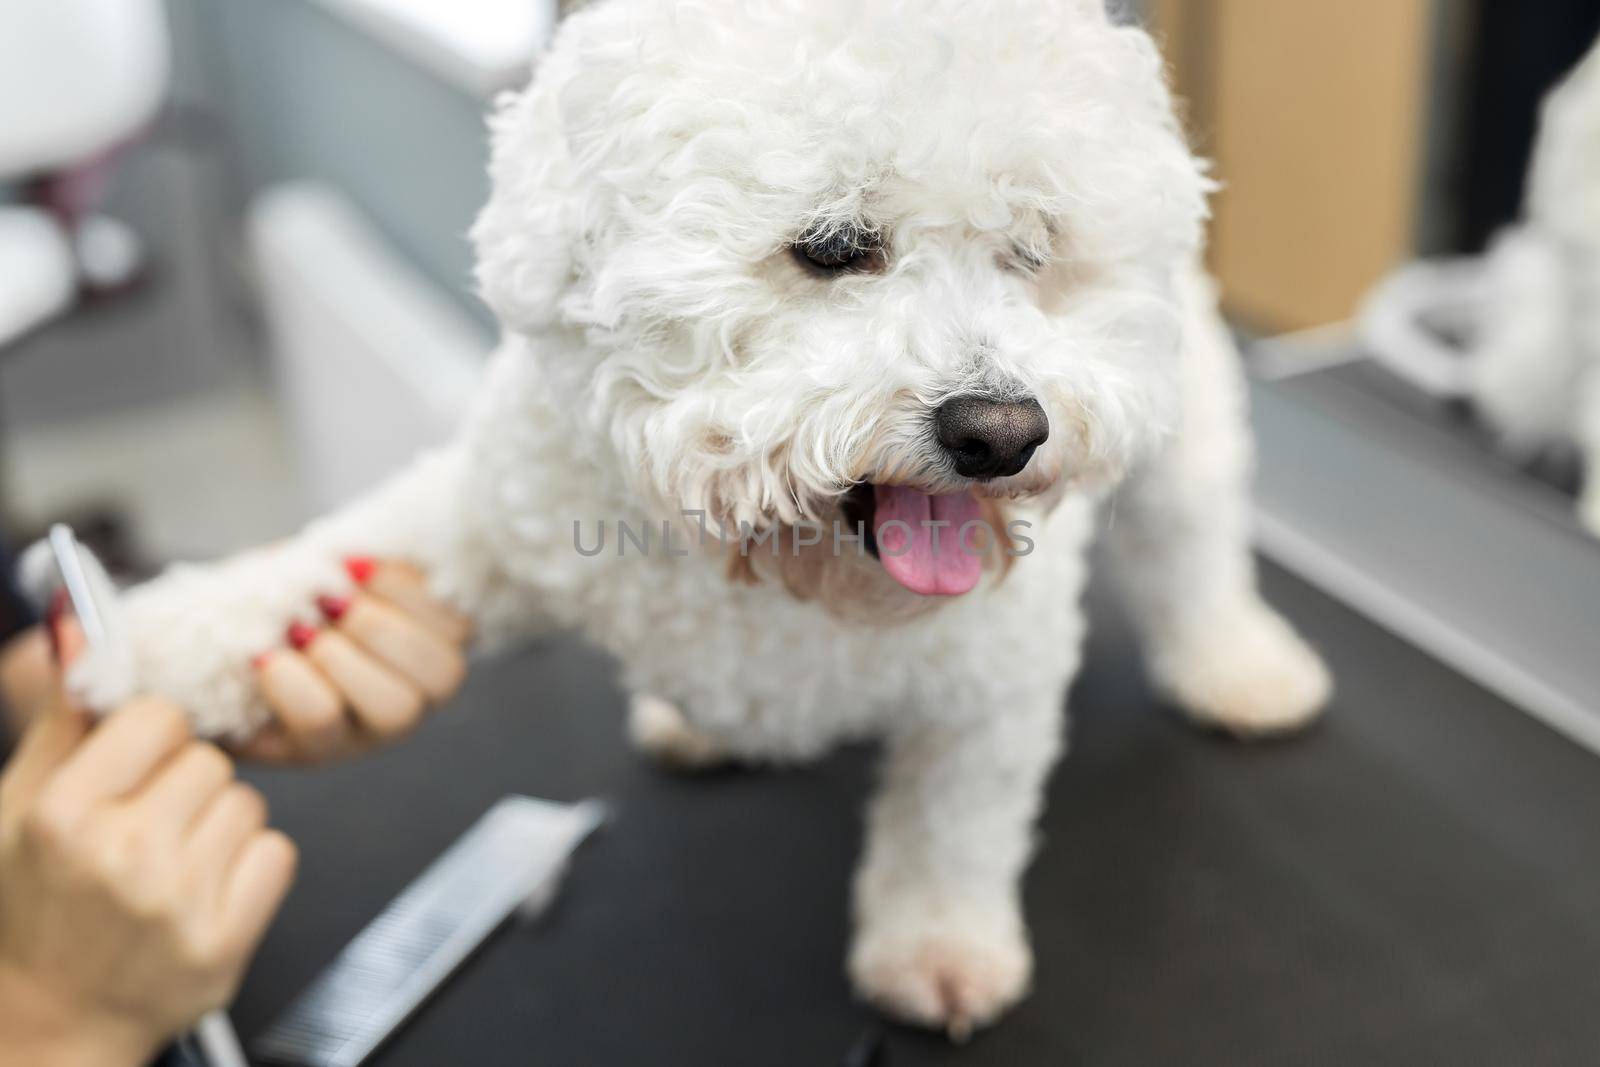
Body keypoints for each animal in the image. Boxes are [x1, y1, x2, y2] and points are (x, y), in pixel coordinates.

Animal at [62, 0, 1331, 1036]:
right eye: (832, 245)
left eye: (1031, 248)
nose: (1000, 428)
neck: (774, 558)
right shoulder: (495, 514)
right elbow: (322, 561)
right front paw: (147, 641)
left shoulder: (992, 678)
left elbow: (954, 818)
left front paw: (938, 944)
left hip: (1185, 413)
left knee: (1191, 540)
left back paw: (1237, 665)